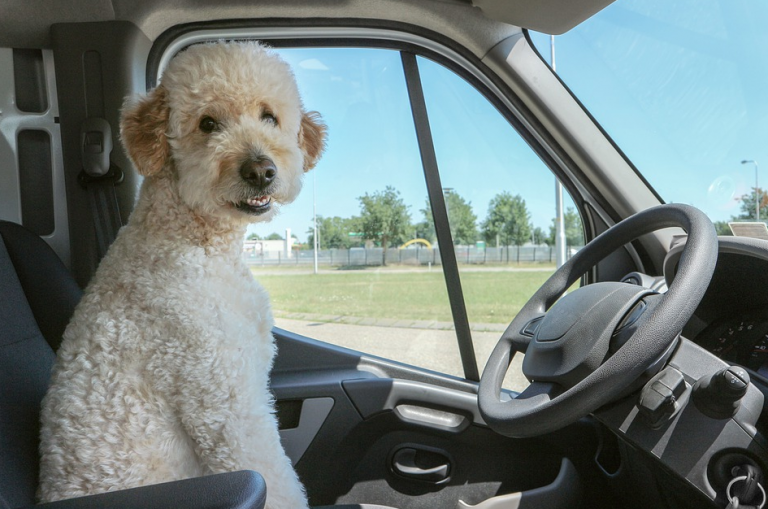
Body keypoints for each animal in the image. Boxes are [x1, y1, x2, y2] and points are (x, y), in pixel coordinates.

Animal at [37, 40, 326, 508]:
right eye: (208, 124)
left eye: (269, 116)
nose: (261, 170)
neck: (197, 243)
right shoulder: (225, 402)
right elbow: (276, 479)